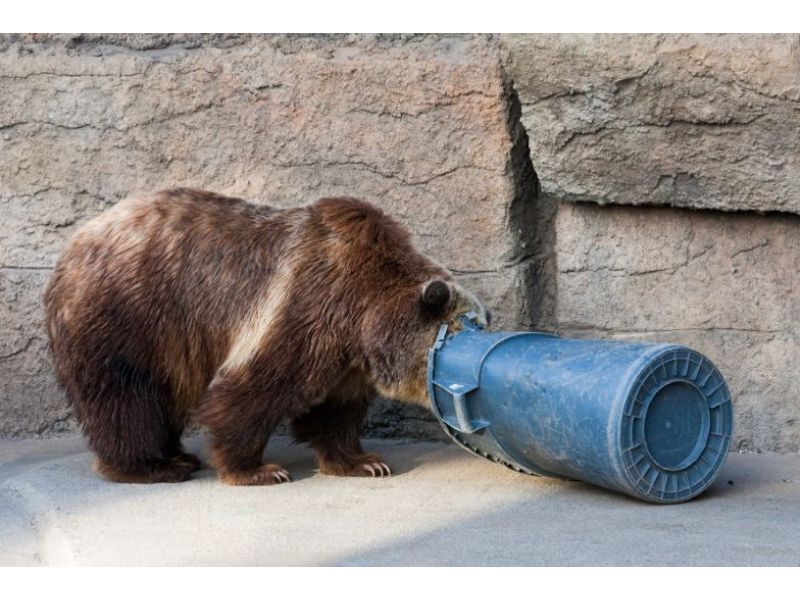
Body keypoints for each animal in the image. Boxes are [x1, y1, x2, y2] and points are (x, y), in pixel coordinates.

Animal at [47, 190, 490, 486]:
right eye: (459, 332)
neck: (362, 314)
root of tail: (71, 248)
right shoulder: (304, 305)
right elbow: (252, 391)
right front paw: (257, 469)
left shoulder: (345, 358)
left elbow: (334, 411)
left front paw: (363, 461)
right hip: (129, 313)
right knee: (127, 396)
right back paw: (153, 466)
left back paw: (174, 455)